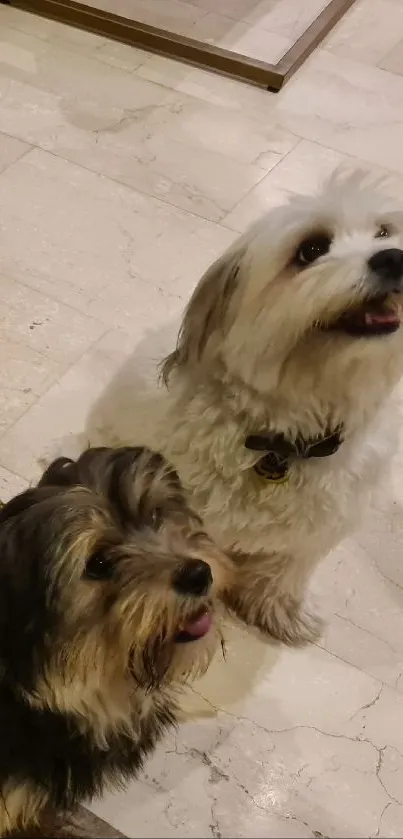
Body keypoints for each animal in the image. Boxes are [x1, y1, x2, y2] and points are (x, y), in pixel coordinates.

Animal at [144, 169, 403, 644]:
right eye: (312, 250)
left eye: (384, 231)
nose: (394, 258)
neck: (286, 439)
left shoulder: (312, 535)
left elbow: (285, 573)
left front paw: (281, 611)